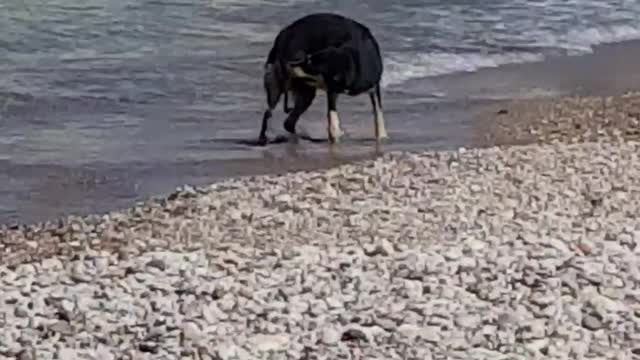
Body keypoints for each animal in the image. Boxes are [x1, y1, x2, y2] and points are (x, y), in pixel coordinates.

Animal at [258, 12, 388, 146]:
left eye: (309, 66)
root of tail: (282, 34)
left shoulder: (372, 87)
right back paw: (266, 138)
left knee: (286, 122)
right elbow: (333, 121)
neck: (354, 60)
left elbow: (378, 115)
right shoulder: (332, 90)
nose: (287, 62)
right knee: (270, 114)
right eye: (308, 59)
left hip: (303, 92)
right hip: (279, 87)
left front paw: (382, 138)